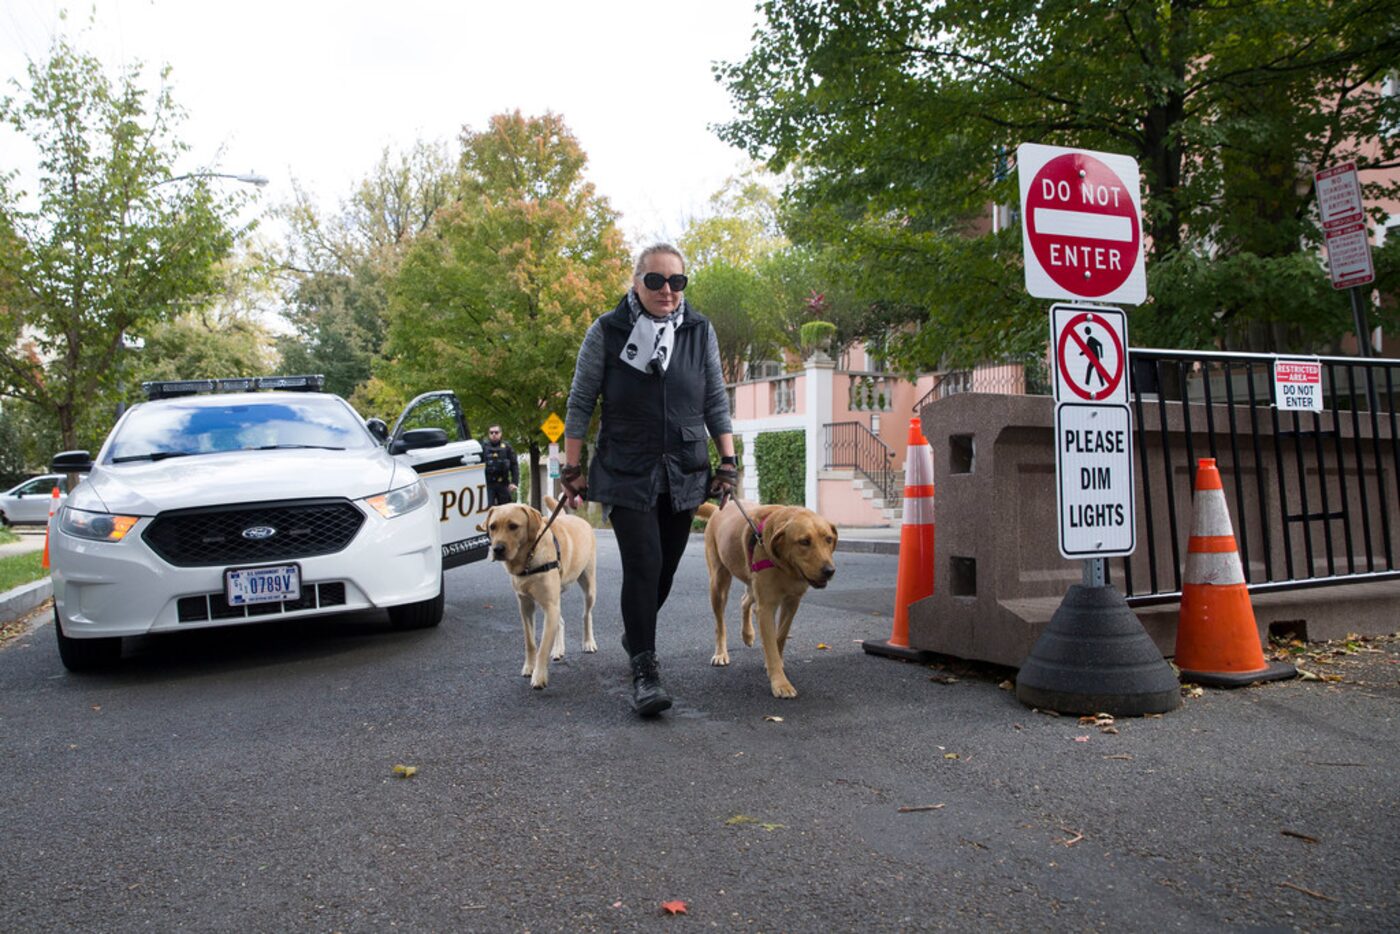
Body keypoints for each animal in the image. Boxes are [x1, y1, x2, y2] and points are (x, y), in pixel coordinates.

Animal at [481, 501, 596, 691]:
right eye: (493, 527)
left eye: (513, 526)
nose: (497, 549)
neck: (528, 559)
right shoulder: (526, 605)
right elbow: (530, 642)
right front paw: (529, 667)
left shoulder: (550, 605)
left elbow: (543, 647)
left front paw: (539, 675)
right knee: (561, 621)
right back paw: (558, 649)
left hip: (588, 585)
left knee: (586, 615)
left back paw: (588, 642)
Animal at [694, 504, 834, 694]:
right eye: (804, 542)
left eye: (829, 539)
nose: (829, 571)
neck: (785, 566)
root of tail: (719, 508)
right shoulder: (767, 606)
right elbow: (770, 644)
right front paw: (780, 683)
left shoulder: (792, 602)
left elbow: (780, 636)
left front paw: (775, 662)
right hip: (718, 583)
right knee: (720, 624)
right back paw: (721, 653)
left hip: (752, 582)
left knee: (745, 601)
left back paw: (748, 634)